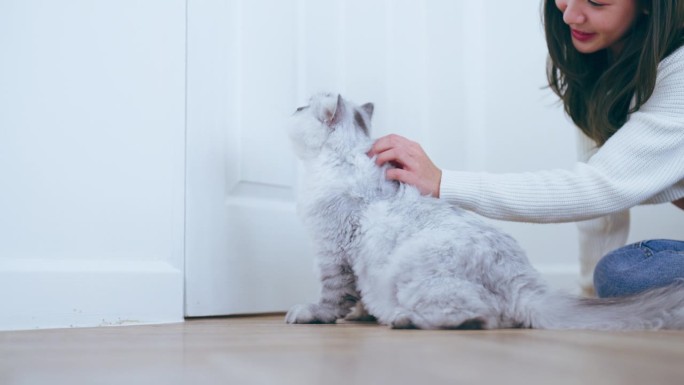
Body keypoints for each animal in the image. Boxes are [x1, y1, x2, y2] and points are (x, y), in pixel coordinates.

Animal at [284, 93, 684, 330]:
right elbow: (353, 298)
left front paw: (311, 314)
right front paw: (360, 315)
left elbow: (331, 299)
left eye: (301, 109)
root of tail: (524, 284)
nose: (291, 107)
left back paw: (403, 319)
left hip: (415, 274)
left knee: (479, 316)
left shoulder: (333, 252)